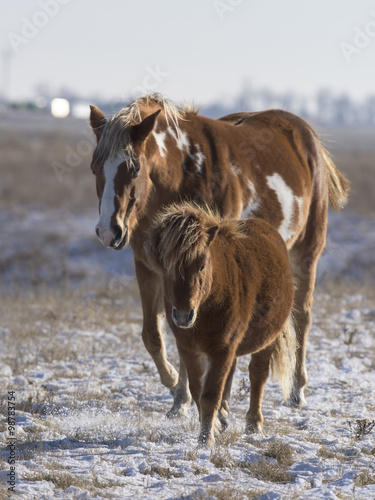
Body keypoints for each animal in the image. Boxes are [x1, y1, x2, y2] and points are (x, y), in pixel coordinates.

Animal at [147, 201, 296, 448]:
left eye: (201, 266)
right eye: (167, 268)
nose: (183, 316)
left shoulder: (222, 349)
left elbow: (210, 394)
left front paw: (206, 440)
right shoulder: (189, 348)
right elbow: (198, 389)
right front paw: (215, 425)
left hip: (267, 341)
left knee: (258, 375)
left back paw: (253, 423)